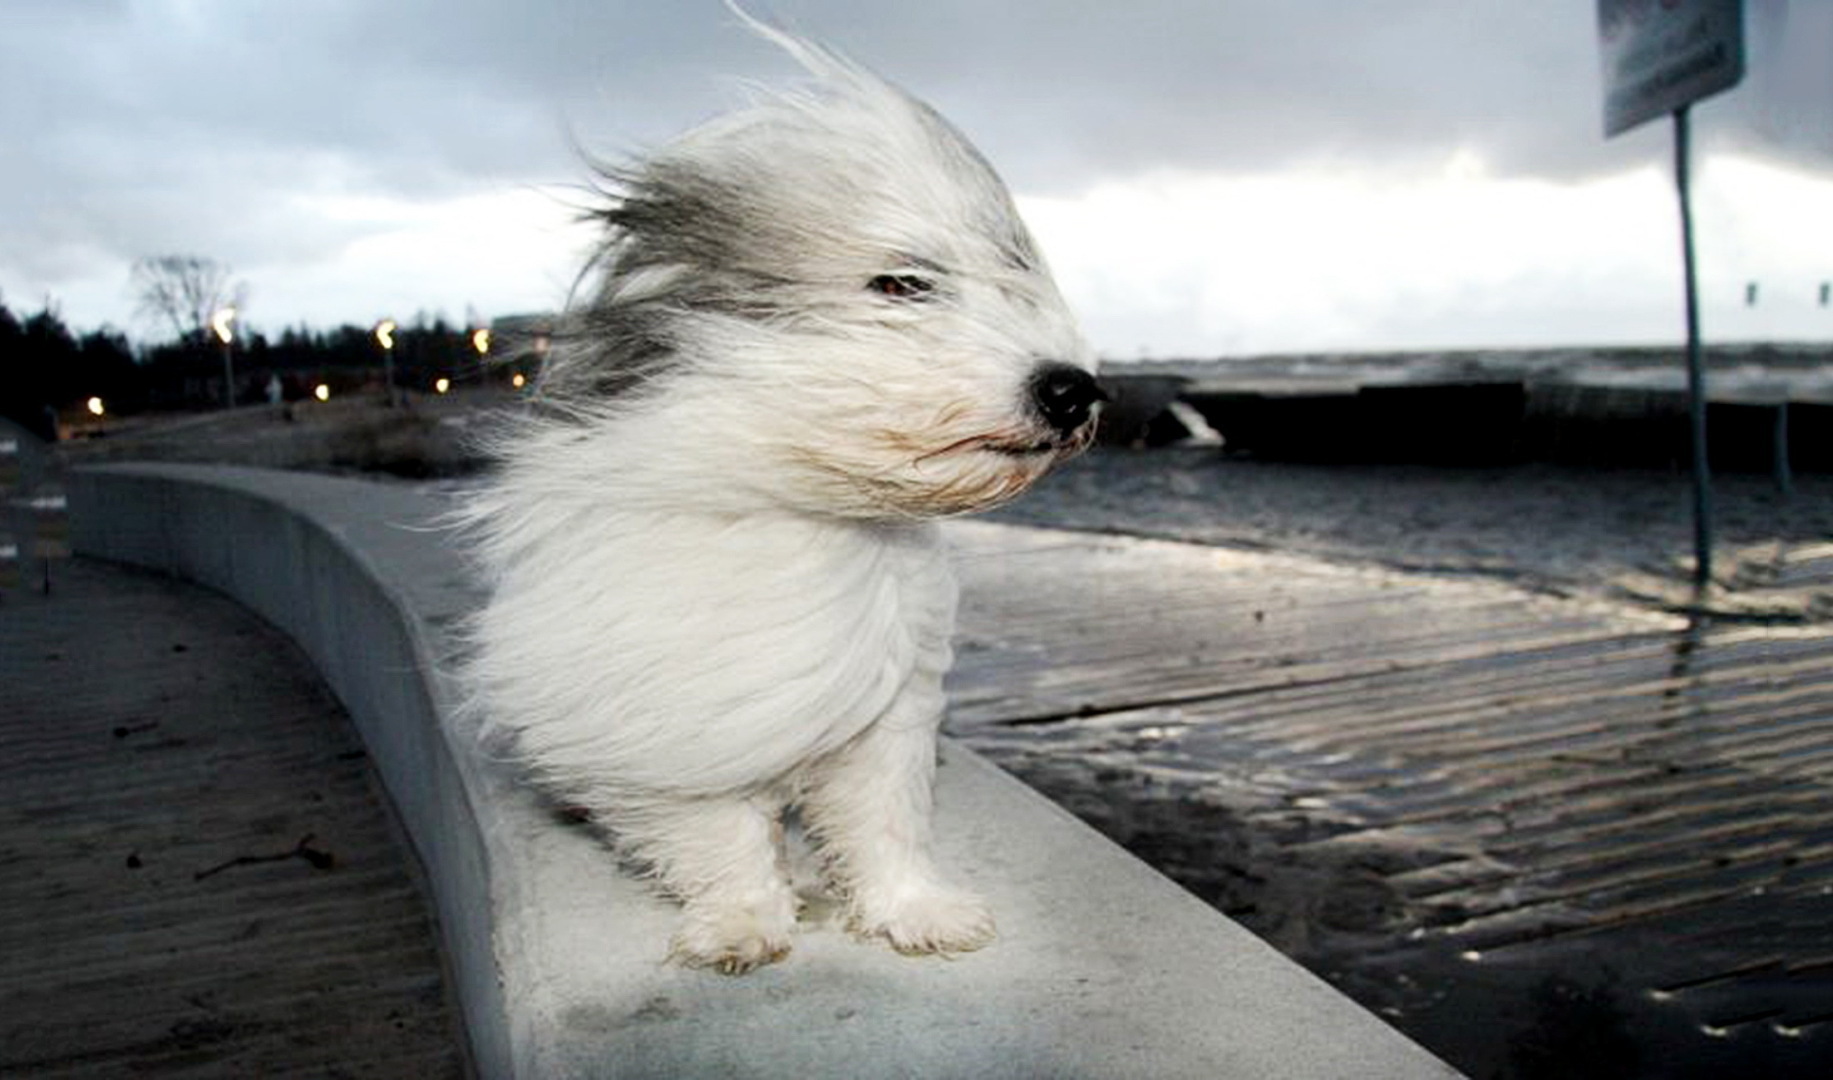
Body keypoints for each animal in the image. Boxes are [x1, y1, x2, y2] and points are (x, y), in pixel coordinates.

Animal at [469, 25, 1099, 975]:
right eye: (902, 284)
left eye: (1012, 278)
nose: (1074, 390)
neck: (804, 503)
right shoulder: (677, 712)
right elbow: (717, 832)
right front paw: (740, 923)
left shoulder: (890, 708)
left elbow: (883, 822)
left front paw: (914, 911)